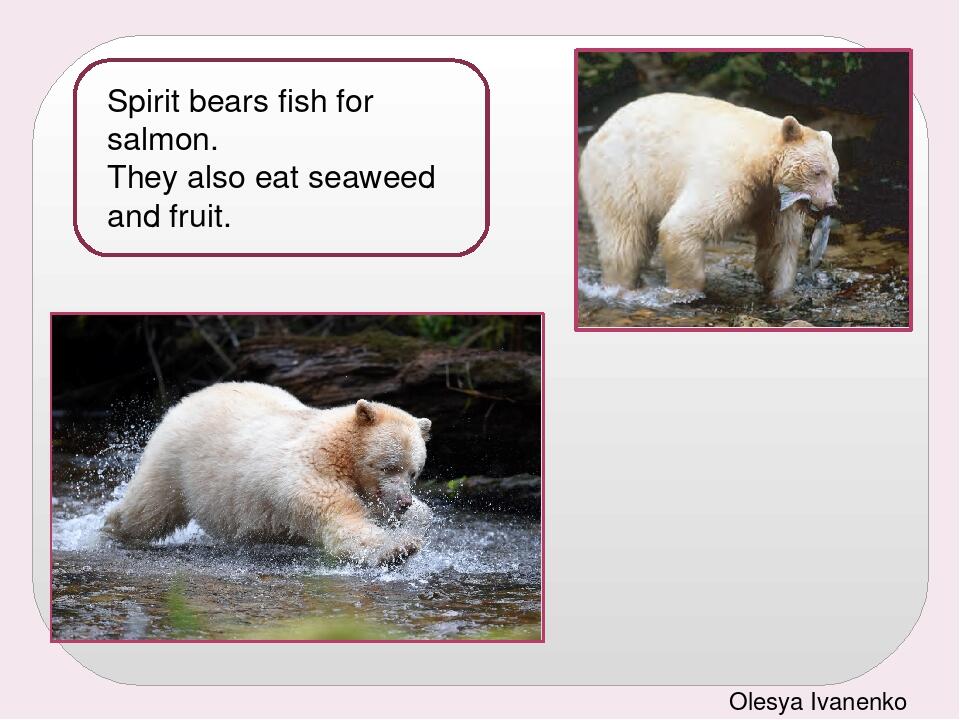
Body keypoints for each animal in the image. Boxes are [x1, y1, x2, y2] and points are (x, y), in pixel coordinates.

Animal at [103, 382, 434, 566]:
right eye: (388, 466)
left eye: (414, 472)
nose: (403, 501)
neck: (337, 449)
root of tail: (190, 398)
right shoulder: (310, 475)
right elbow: (342, 520)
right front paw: (398, 550)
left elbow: (419, 513)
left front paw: (411, 526)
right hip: (175, 461)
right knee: (148, 509)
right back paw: (110, 529)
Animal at [579, 92, 840, 301]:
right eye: (818, 172)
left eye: (835, 178)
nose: (830, 205)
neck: (758, 160)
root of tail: (599, 132)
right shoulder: (729, 176)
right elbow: (682, 226)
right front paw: (687, 292)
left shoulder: (773, 201)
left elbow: (778, 244)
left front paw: (781, 293)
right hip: (622, 175)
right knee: (624, 237)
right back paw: (621, 286)